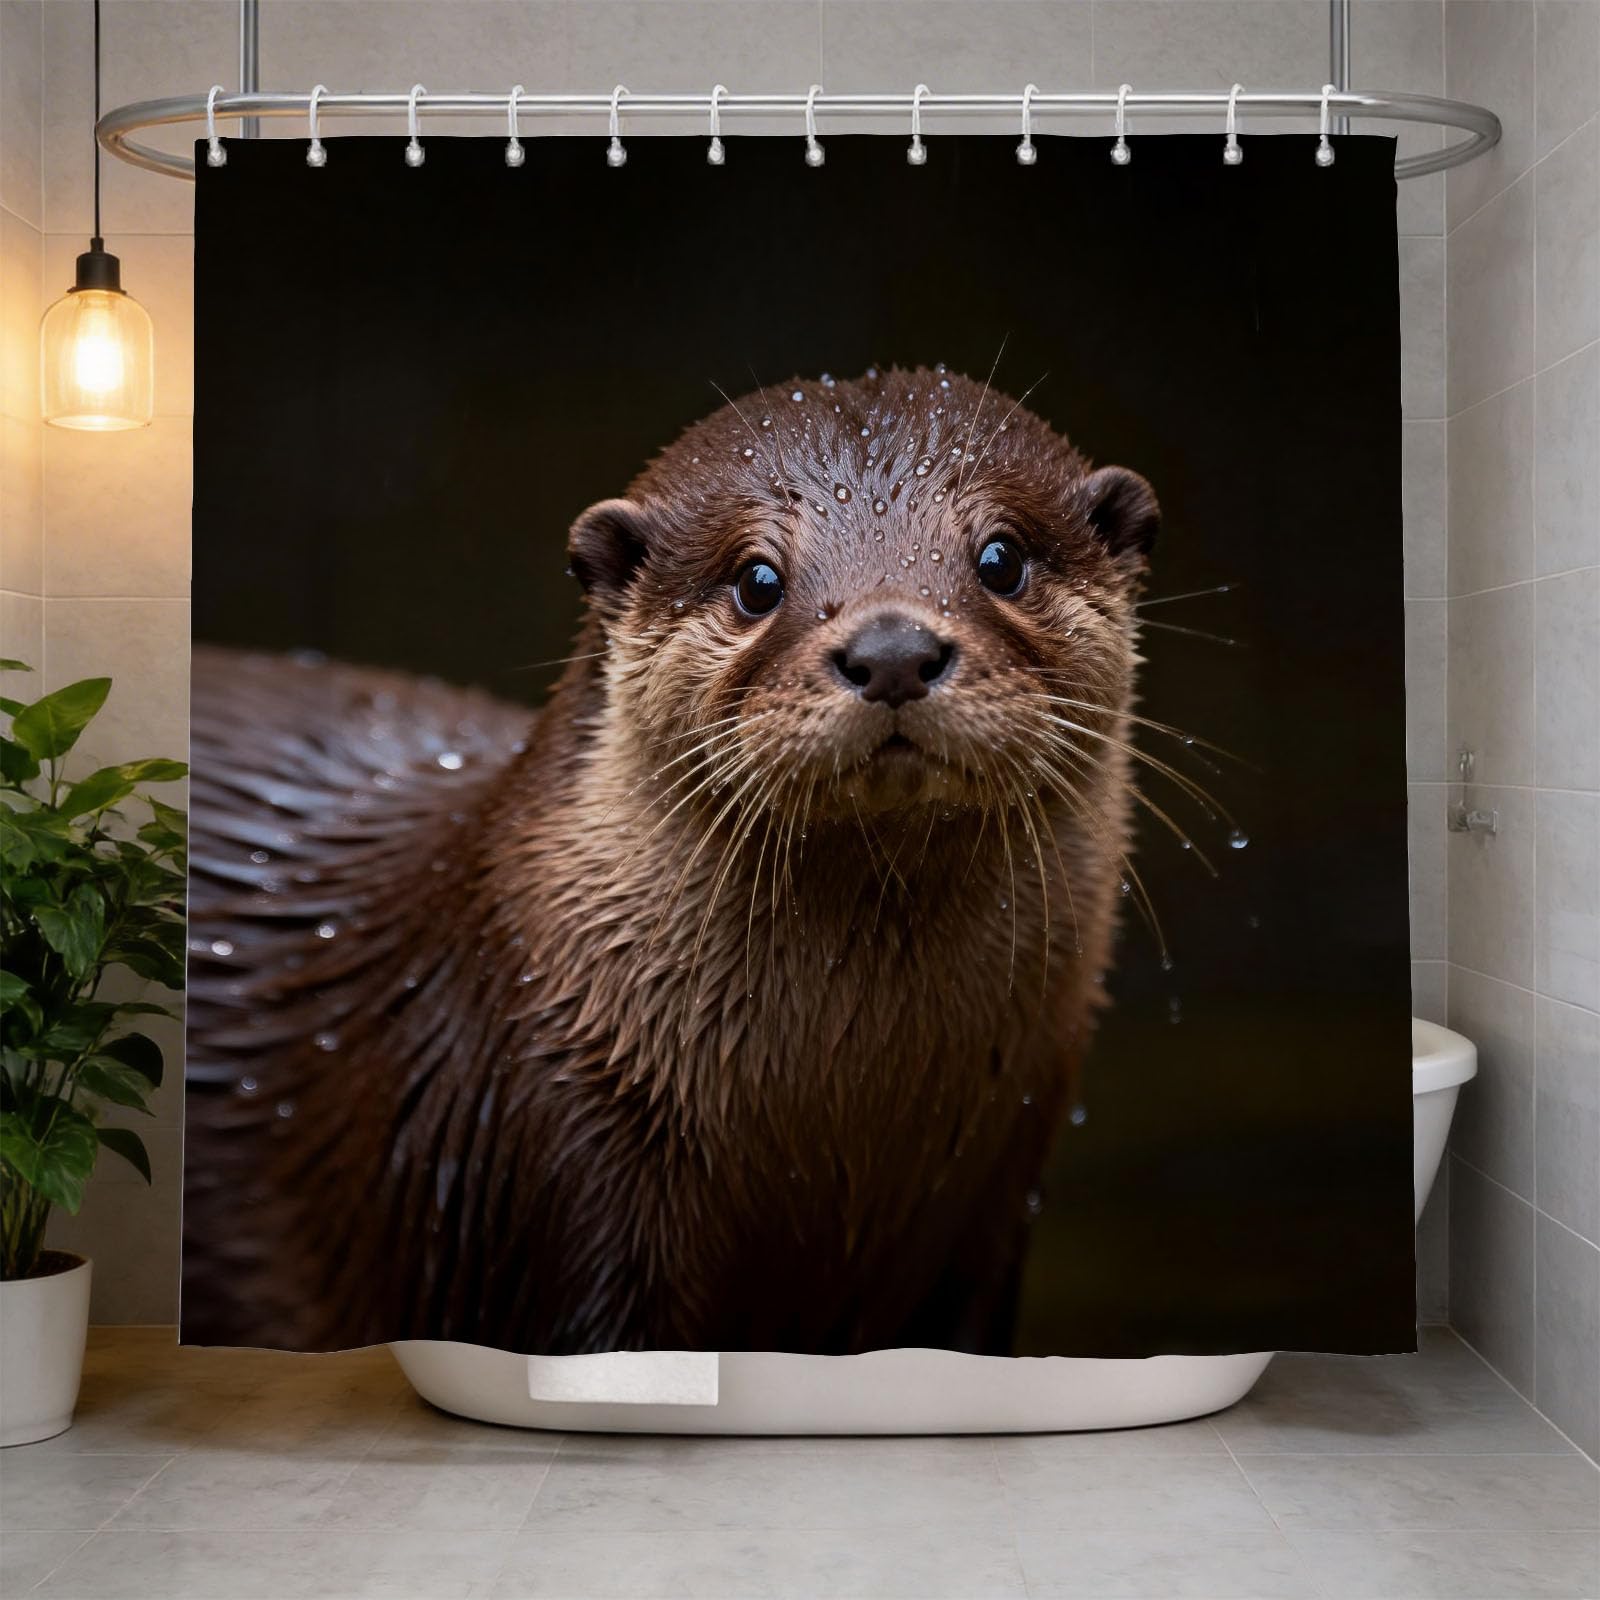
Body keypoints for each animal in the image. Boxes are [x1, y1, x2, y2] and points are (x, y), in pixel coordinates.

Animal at [183, 366, 1160, 1354]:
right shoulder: (549, 1162)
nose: (893, 651)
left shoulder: (990, 1222)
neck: (843, 1128)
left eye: (1001, 559)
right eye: (757, 580)